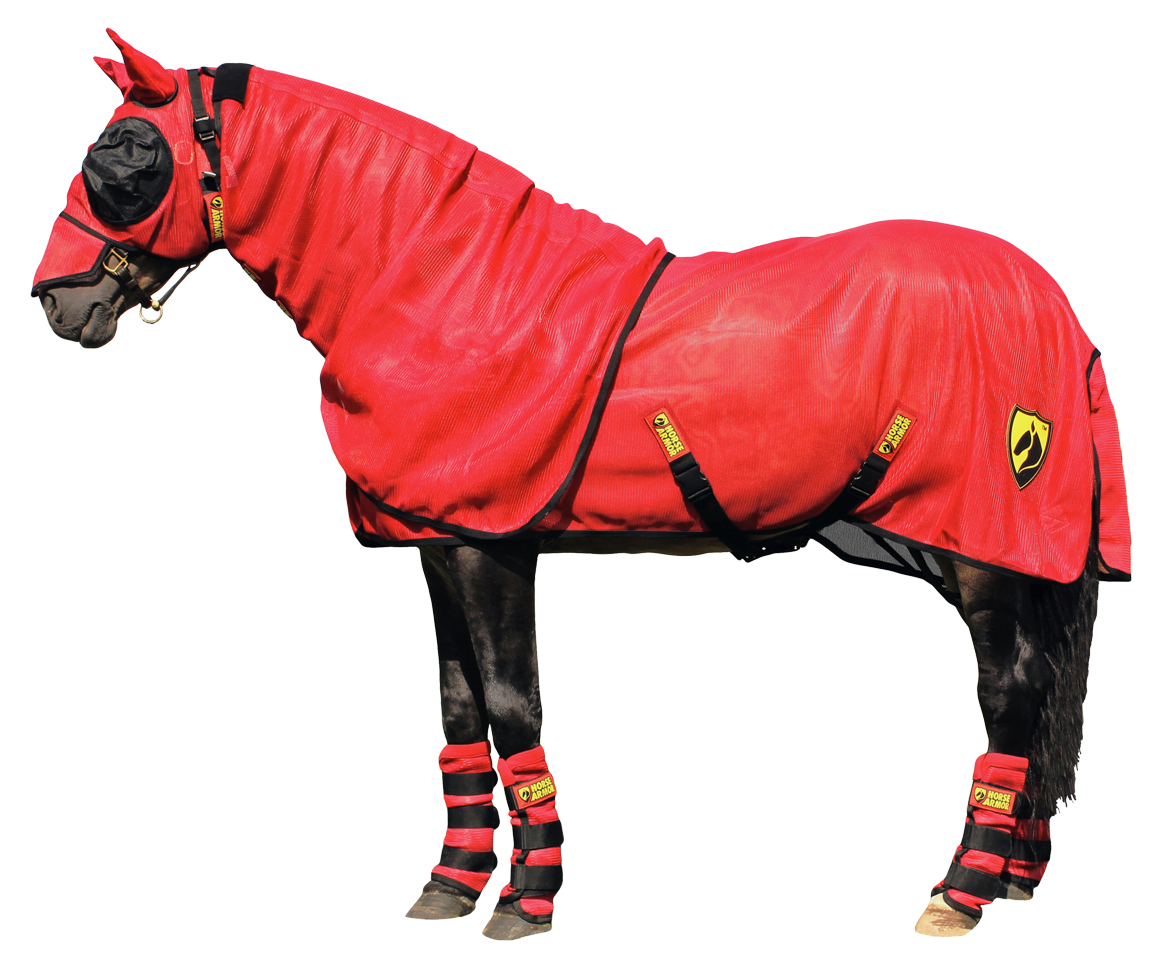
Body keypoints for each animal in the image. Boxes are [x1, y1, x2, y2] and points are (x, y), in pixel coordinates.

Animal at [34, 31, 1130, 941]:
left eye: (124, 155)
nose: (57, 302)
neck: (450, 288)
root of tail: (1052, 305)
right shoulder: (439, 536)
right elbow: (458, 710)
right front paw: (447, 886)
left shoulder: (491, 545)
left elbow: (512, 705)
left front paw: (526, 902)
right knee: (1038, 697)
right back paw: (1014, 874)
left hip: (977, 545)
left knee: (1009, 693)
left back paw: (958, 894)